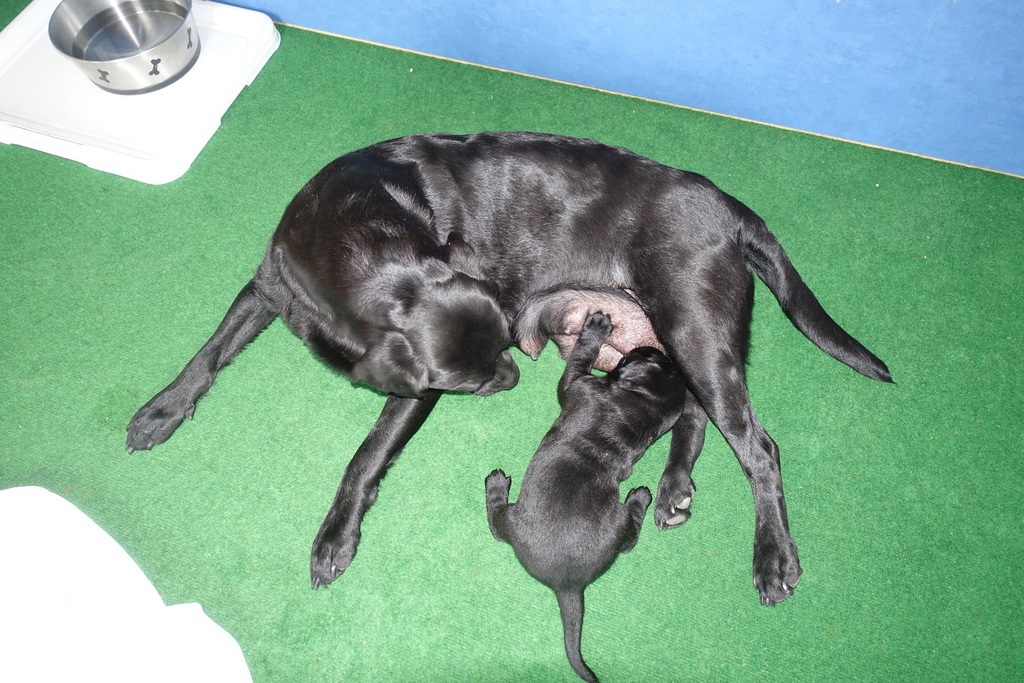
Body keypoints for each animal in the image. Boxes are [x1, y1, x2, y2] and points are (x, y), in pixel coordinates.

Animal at [126, 131, 890, 601]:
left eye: (492, 362)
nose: (514, 375)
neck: (355, 240)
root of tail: (729, 206)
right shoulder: (268, 287)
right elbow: (209, 351)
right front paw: (162, 408)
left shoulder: (416, 390)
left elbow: (366, 455)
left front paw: (335, 535)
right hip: (668, 342)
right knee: (695, 414)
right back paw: (674, 487)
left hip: (695, 330)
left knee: (758, 446)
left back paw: (773, 556)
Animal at [487, 310, 687, 682]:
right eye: (661, 360)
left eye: (649, 358)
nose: (657, 348)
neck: (637, 410)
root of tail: (568, 585)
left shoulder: (578, 385)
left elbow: (578, 361)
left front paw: (595, 329)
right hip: (618, 530)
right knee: (629, 543)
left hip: (513, 518)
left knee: (495, 524)